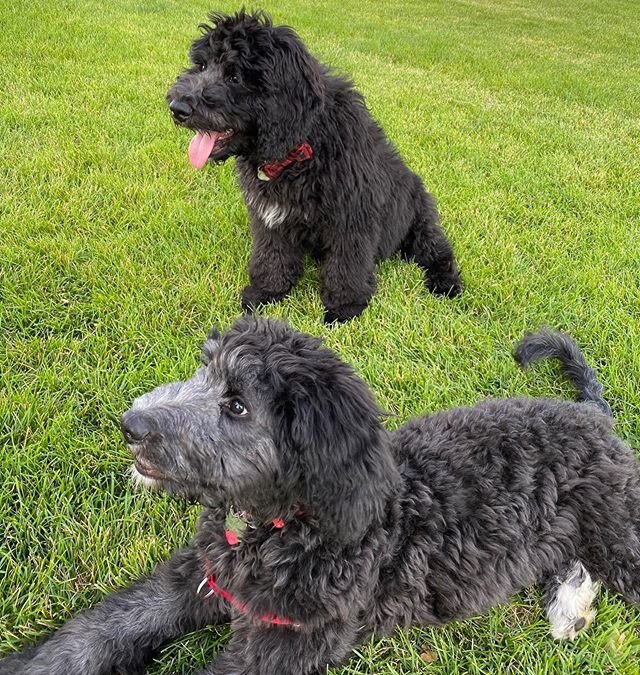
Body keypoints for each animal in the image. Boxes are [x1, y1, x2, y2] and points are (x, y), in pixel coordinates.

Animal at [2, 320, 636, 675]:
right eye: (204, 371)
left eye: (237, 405)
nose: (130, 425)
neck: (273, 530)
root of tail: (593, 417)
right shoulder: (195, 578)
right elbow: (93, 633)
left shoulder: (285, 645)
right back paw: (571, 608)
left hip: (619, 535)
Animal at [168, 11, 462, 324]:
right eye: (201, 65)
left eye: (234, 76)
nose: (177, 108)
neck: (304, 146)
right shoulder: (270, 218)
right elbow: (272, 257)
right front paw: (265, 293)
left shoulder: (352, 220)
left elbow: (346, 269)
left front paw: (344, 310)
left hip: (420, 226)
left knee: (439, 252)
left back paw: (446, 283)